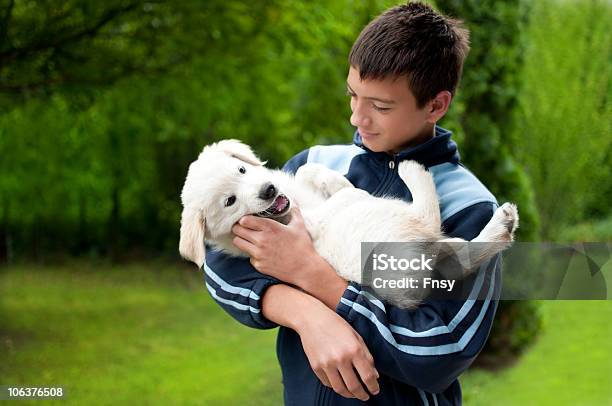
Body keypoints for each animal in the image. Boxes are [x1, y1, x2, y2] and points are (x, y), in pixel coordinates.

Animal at [179, 140, 520, 308]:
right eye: (230, 201)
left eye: (241, 170)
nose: (268, 191)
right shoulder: (312, 221)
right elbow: (343, 199)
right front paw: (347, 187)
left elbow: (306, 171)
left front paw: (331, 178)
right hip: (390, 220)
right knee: (429, 219)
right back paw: (413, 169)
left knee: (461, 259)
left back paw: (500, 226)